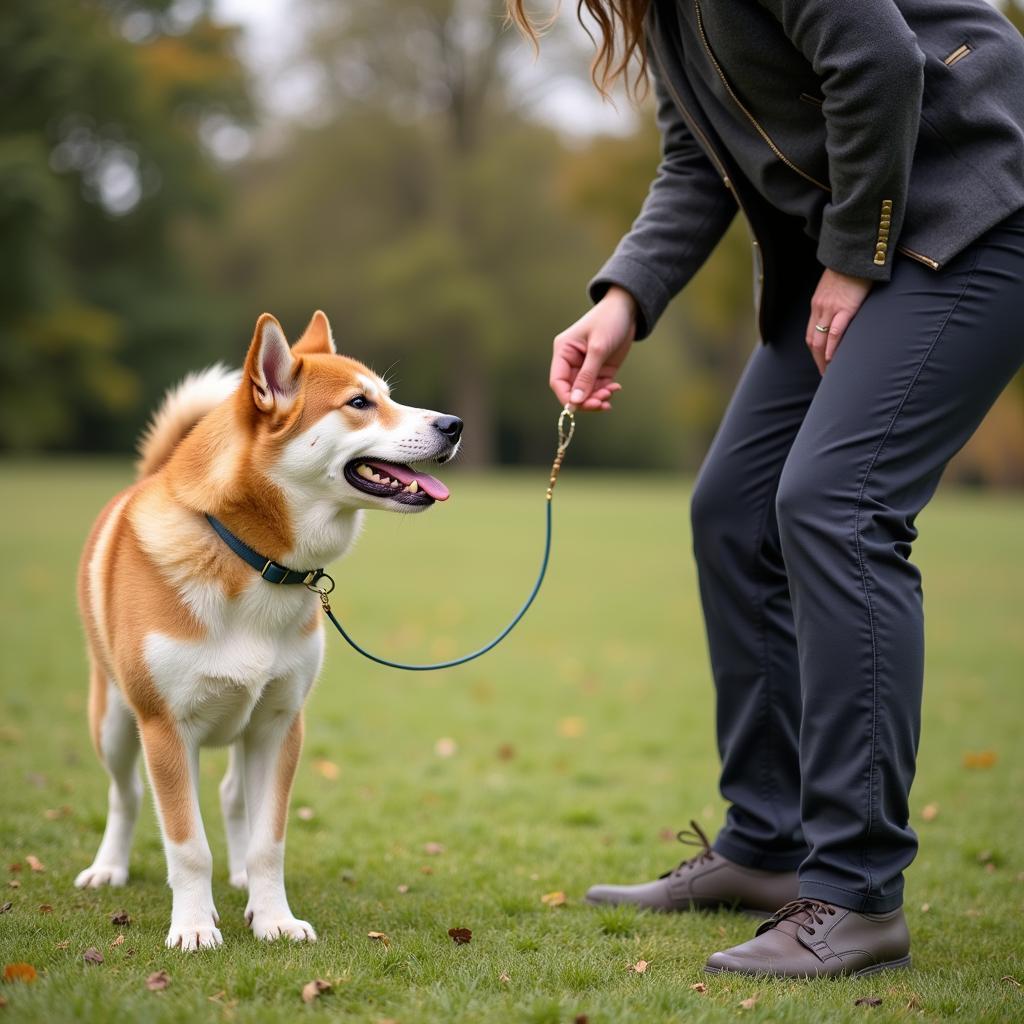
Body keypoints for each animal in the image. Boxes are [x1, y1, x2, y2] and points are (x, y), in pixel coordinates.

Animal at [77, 311, 462, 950]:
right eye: (360, 403)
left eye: (387, 395)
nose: (454, 425)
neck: (252, 560)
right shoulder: (165, 729)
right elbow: (187, 844)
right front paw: (192, 926)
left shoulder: (280, 723)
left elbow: (268, 840)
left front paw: (273, 917)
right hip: (113, 720)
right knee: (125, 795)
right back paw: (109, 868)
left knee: (232, 799)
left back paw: (236, 881)